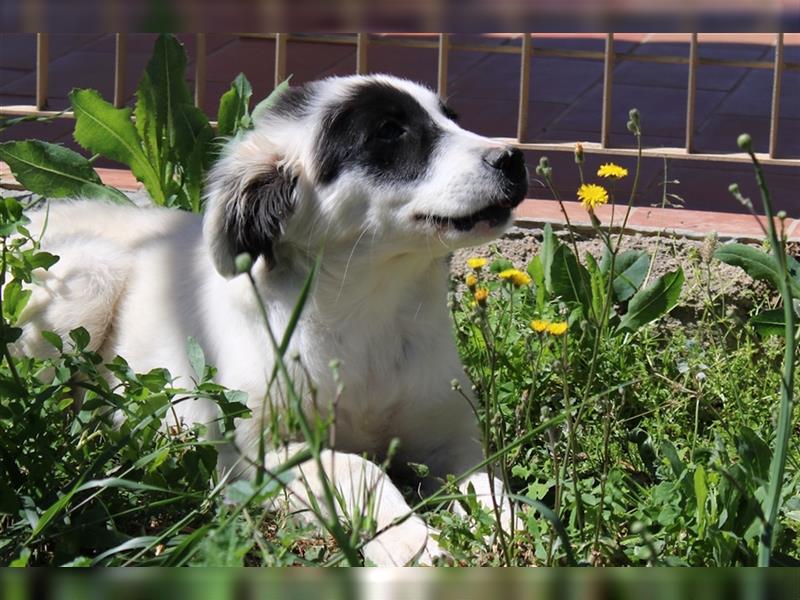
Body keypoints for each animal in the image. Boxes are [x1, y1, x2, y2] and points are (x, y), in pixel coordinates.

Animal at [14, 72, 524, 564]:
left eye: (451, 117)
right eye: (388, 130)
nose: (514, 158)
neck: (367, 311)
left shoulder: (451, 440)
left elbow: (489, 486)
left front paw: (512, 534)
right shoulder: (249, 457)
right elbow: (355, 466)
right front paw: (412, 546)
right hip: (89, 279)